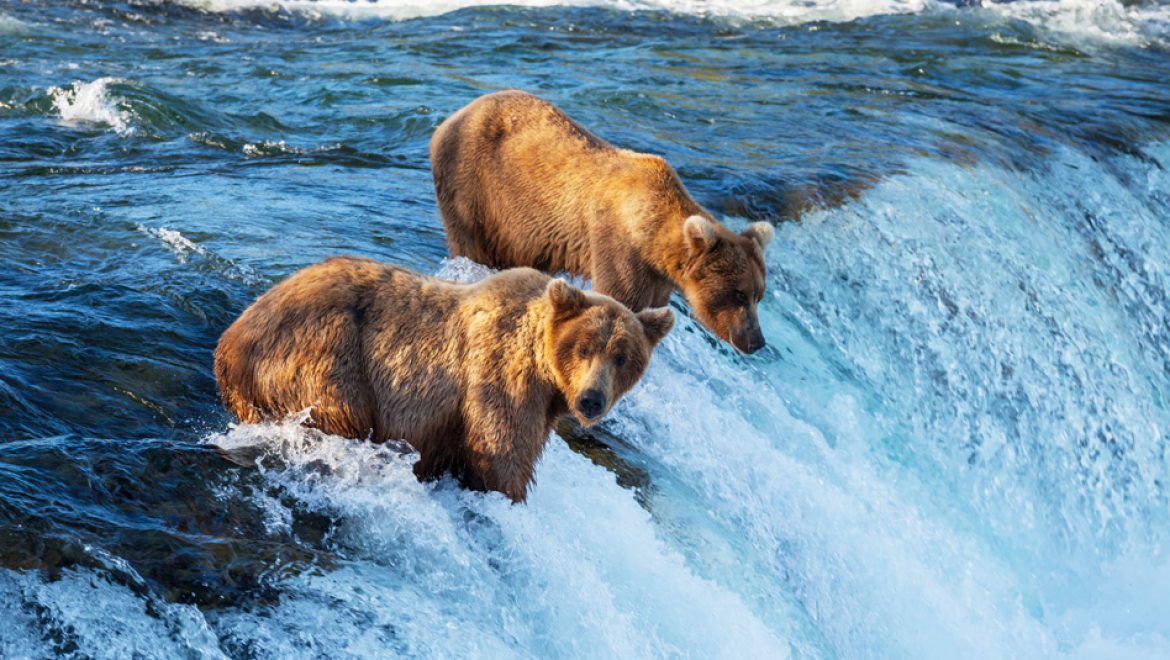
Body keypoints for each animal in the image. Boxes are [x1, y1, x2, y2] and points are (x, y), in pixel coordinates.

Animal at [214, 256, 673, 500]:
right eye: (584, 348)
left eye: (622, 357)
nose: (591, 399)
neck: (547, 376)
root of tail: (229, 342)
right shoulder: (499, 378)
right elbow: (501, 453)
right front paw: (509, 495)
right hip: (324, 355)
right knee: (340, 412)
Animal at [430, 91, 776, 355]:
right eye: (739, 294)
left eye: (758, 295)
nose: (756, 341)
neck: (652, 237)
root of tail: (450, 118)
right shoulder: (619, 246)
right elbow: (620, 297)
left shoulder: (657, 276)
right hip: (475, 187)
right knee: (472, 243)